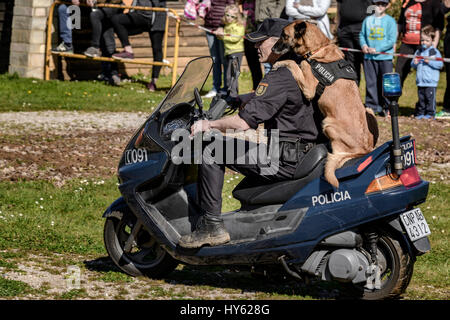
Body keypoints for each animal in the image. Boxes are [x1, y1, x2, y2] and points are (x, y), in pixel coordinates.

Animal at [272, 21, 378, 189]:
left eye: (284, 35)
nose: (272, 49)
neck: (317, 48)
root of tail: (364, 151)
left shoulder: (308, 88)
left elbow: (294, 63)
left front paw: (279, 63)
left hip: (327, 123)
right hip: (368, 110)